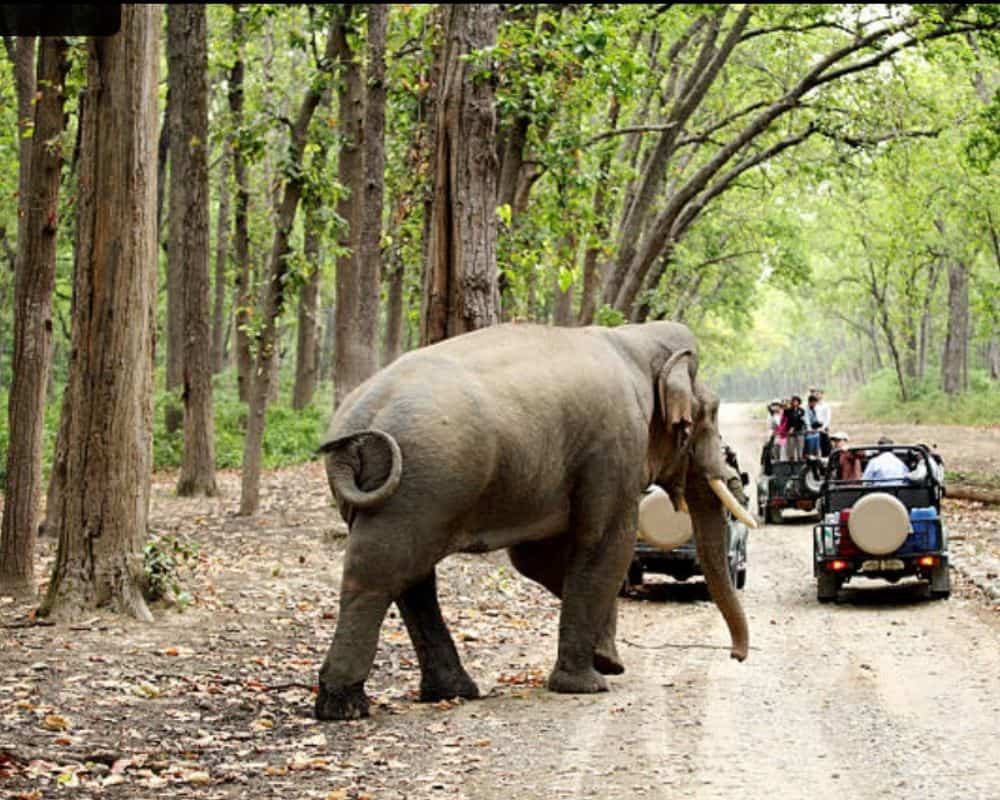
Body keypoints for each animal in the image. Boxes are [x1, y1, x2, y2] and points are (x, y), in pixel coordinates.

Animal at [316, 322, 752, 720]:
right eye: (711, 414)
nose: (737, 656)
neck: (633, 340)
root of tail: (355, 424)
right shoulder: (616, 446)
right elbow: (607, 543)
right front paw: (589, 683)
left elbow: (535, 559)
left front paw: (607, 660)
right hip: (422, 486)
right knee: (380, 573)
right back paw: (344, 706)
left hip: (409, 494)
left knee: (411, 578)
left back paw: (453, 691)